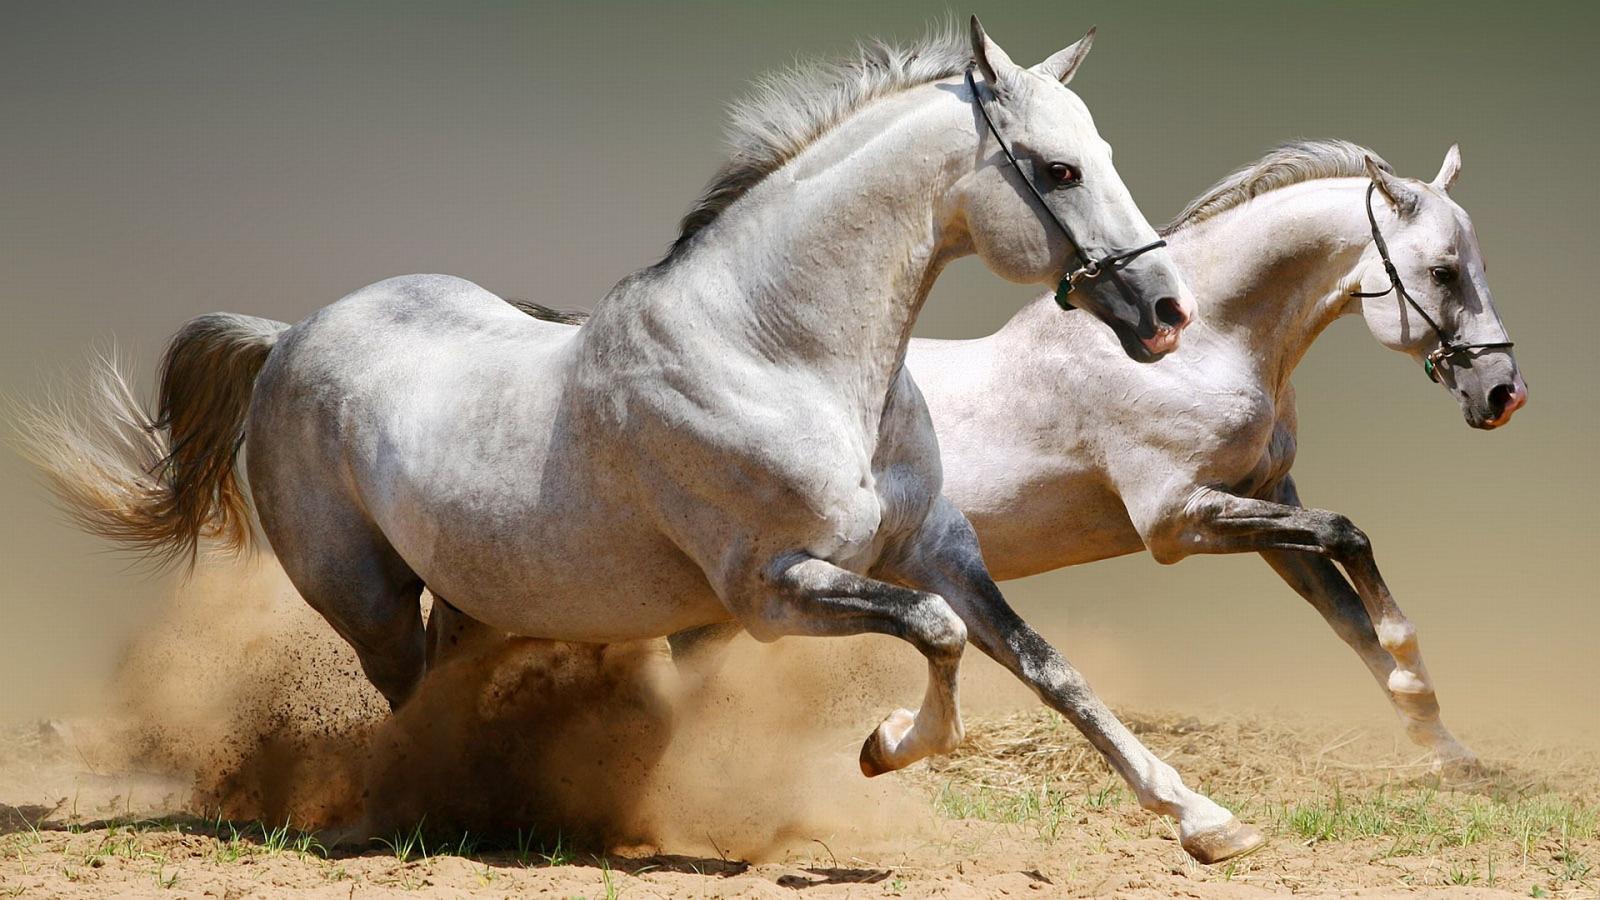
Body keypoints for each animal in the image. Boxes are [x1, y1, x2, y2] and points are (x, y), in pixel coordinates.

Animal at [19, 21, 1274, 863]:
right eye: (1058, 169)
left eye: (1100, 151)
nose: (1165, 312)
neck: (780, 353)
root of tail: (288, 337)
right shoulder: (772, 591)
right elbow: (936, 638)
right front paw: (881, 747)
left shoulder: (936, 550)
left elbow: (1048, 668)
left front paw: (1208, 823)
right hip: (364, 597)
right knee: (406, 700)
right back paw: (423, 809)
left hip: (474, 593)